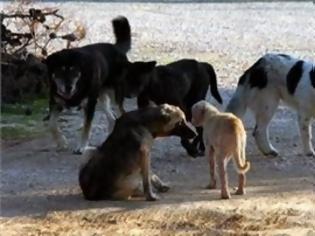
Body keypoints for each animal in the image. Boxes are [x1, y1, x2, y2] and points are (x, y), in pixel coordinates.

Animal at [44, 16, 157, 153]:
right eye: (59, 71)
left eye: (74, 70)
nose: (68, 87)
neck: (79, 85)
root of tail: (117, 48)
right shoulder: (55, 103)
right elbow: (51, 124)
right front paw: (61, 142)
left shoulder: (90, 104)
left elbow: (86, 127)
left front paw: (81, 146)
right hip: (102, 96)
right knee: (112, 119)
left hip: (115, 95)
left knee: (121, 114)